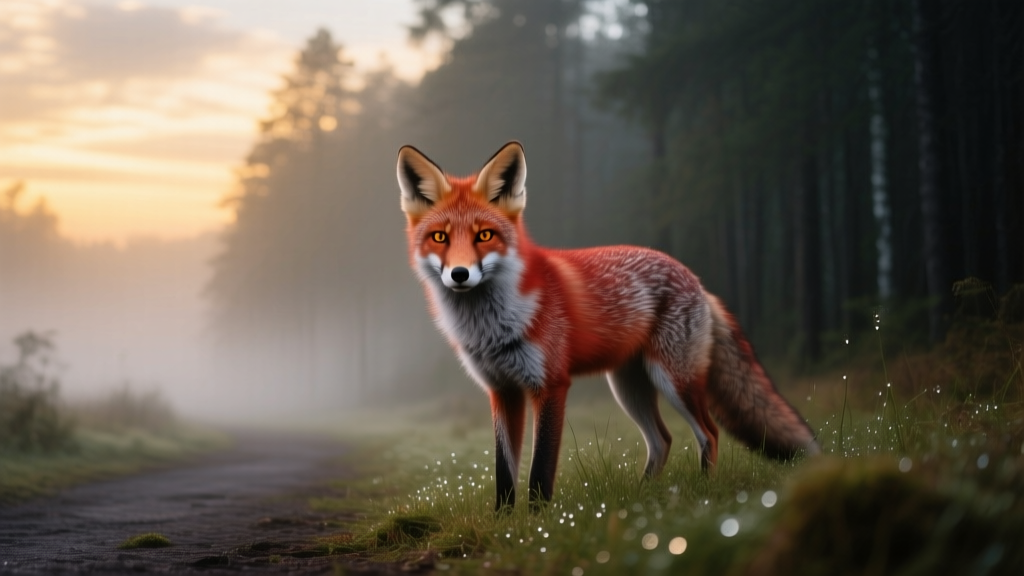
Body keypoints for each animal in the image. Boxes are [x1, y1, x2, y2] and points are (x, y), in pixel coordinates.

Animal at [396, 141, 820, 511]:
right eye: (440, 237)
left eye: (484, 235)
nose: (460, 274)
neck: (492, 326)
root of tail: (696, 279)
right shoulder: (502, 391)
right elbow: (504, 473)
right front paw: (503, 524)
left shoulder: (551, 385)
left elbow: (539, 471)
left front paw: (537, 523)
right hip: (629, 388)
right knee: (663, 440)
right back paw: (643, 495)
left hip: (674, 381)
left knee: (709, 433)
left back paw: (700, 492)